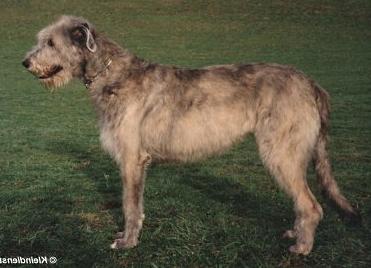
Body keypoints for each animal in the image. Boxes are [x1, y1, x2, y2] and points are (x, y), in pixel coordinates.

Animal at [21, 15, 358, 254]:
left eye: (50, 42)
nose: (24, 62)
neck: (111, 74)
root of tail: (311, 84)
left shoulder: (131, 158)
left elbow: (130, 205)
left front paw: (127, 242)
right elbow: (136, 205)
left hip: (281, 151)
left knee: (311, 205)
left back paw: (302, 246)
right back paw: (296, 232)